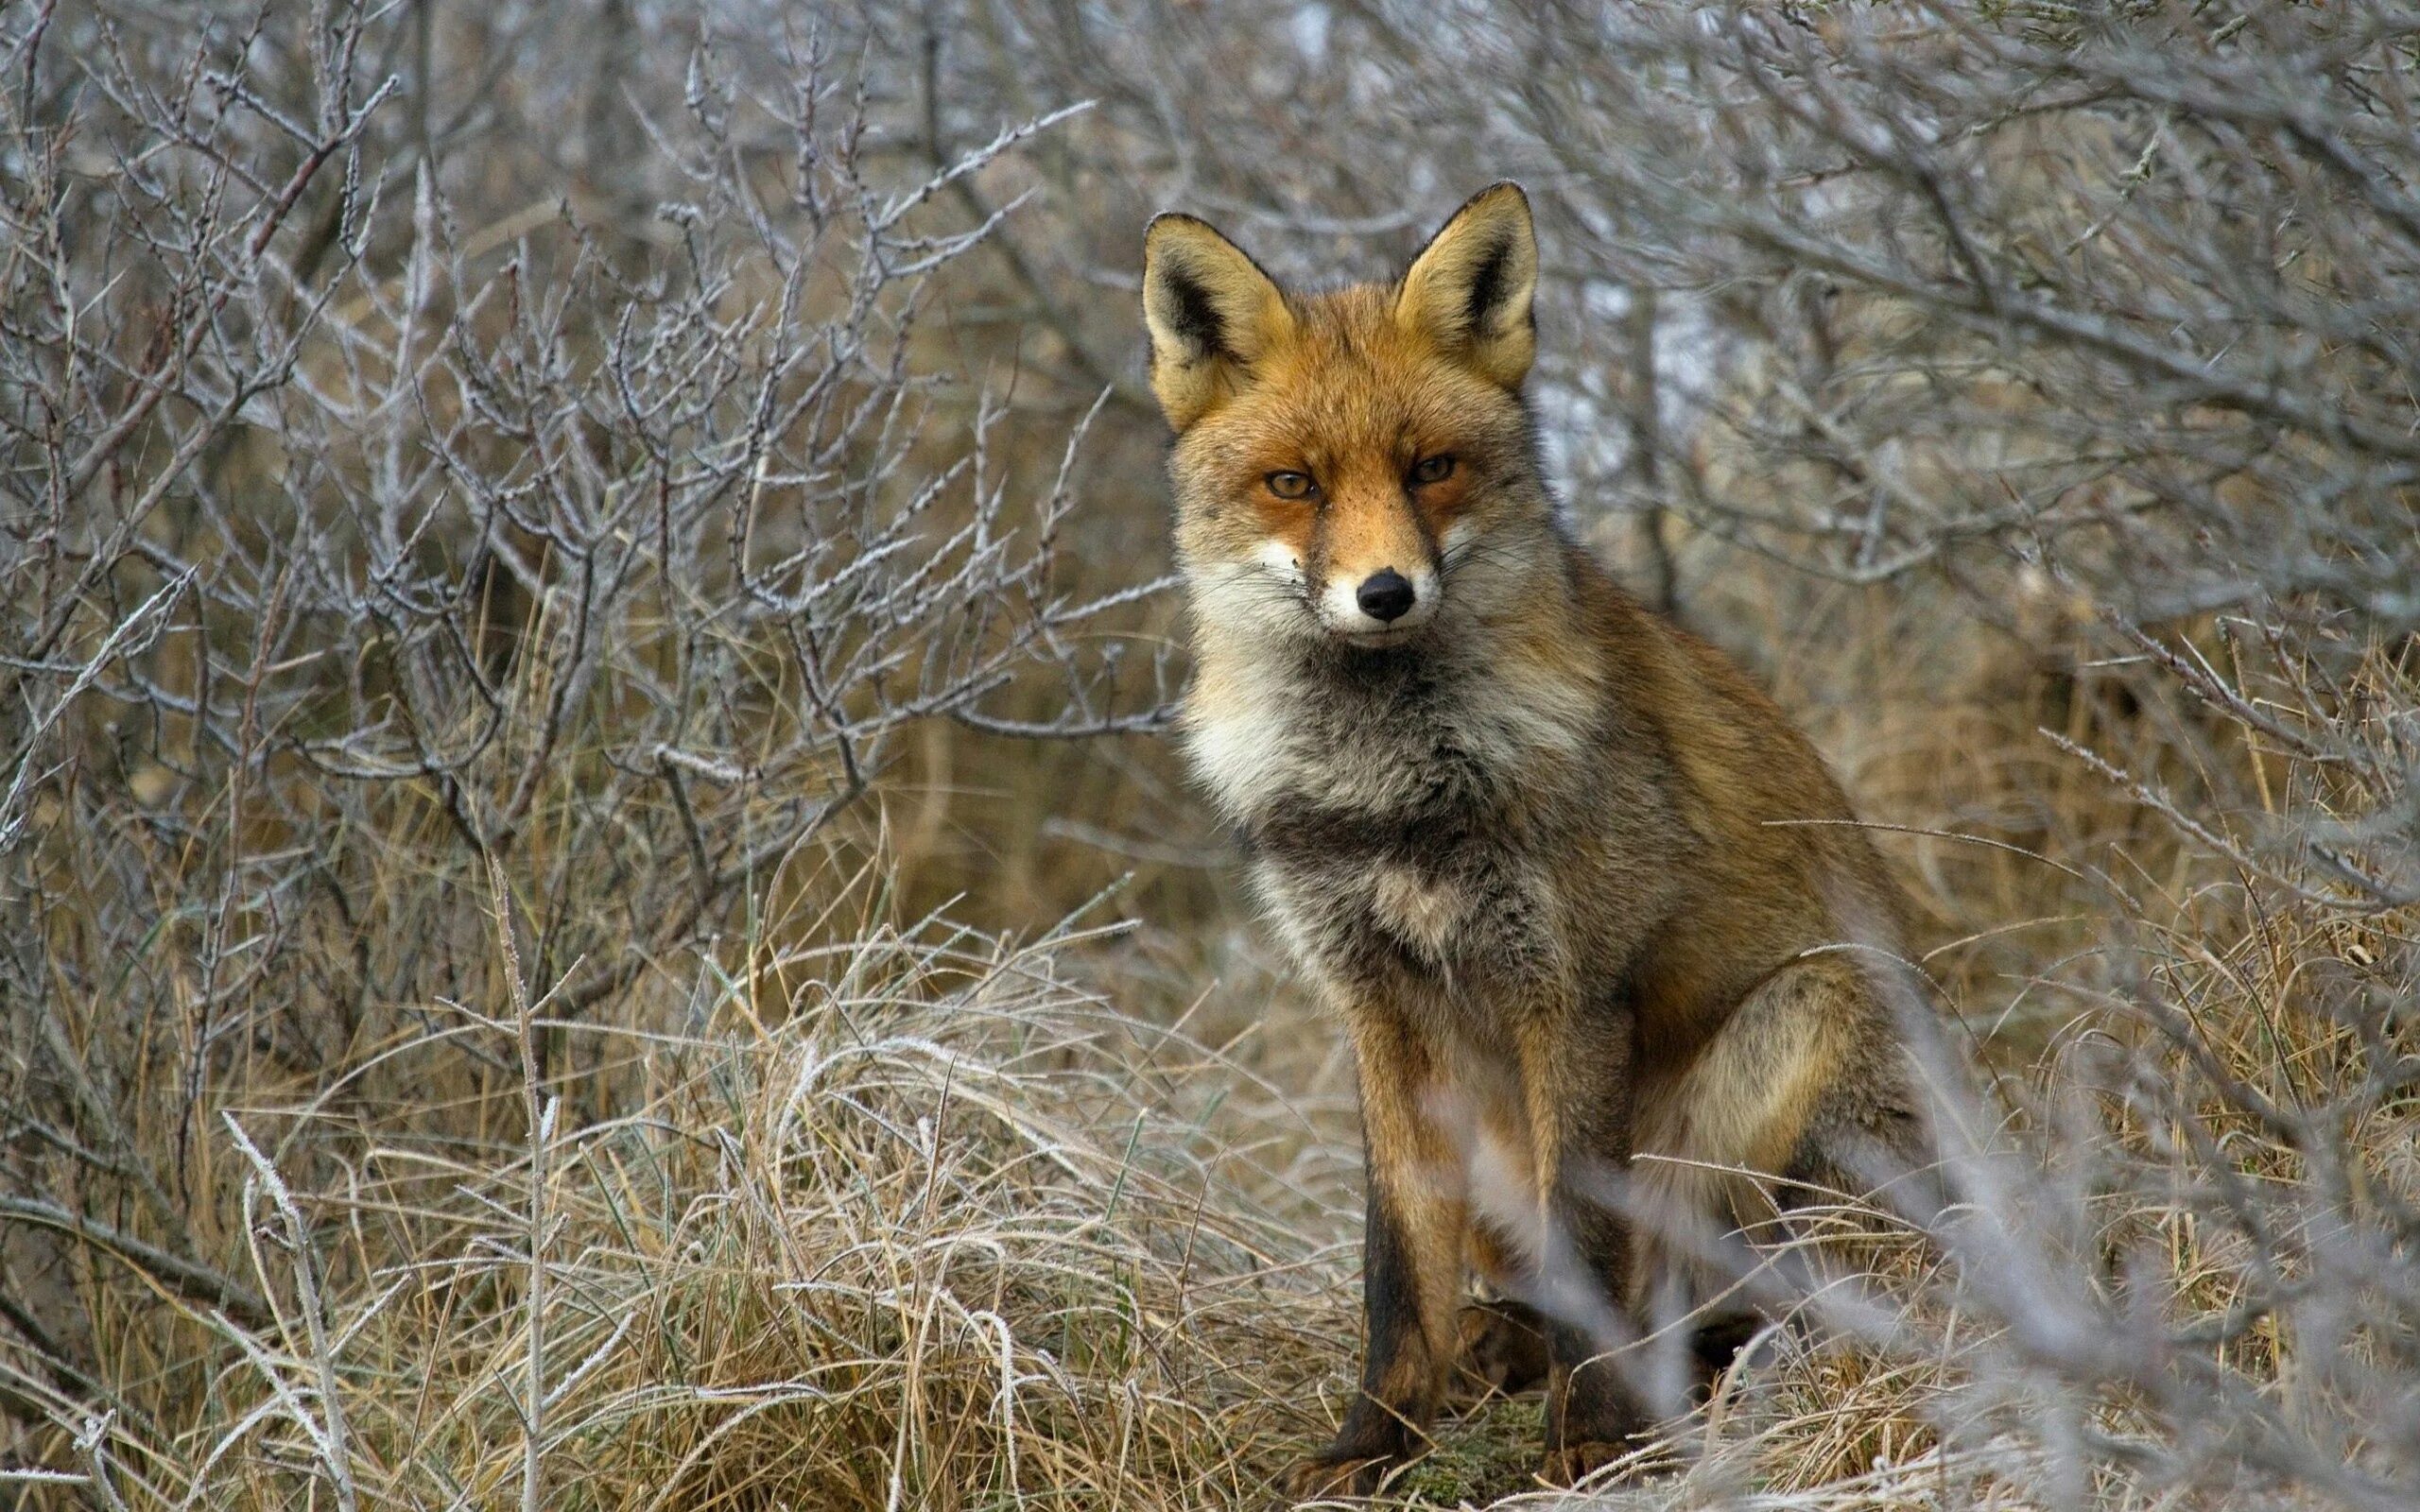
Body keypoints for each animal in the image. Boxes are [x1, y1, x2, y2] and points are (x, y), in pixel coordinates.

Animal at [1137, 182, 1945, 1489]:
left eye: (1432, 469)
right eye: (1293, 484)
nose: (1384, 593)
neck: (1393, 799)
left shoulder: (1570, 993)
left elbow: (1586, 1234)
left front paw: (1591, 1438)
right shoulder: (1375, 1008)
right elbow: (1393, 1264)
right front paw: (1375, 1441)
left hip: (1792, 1037)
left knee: (1741, 1294)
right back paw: (1498, 1348)